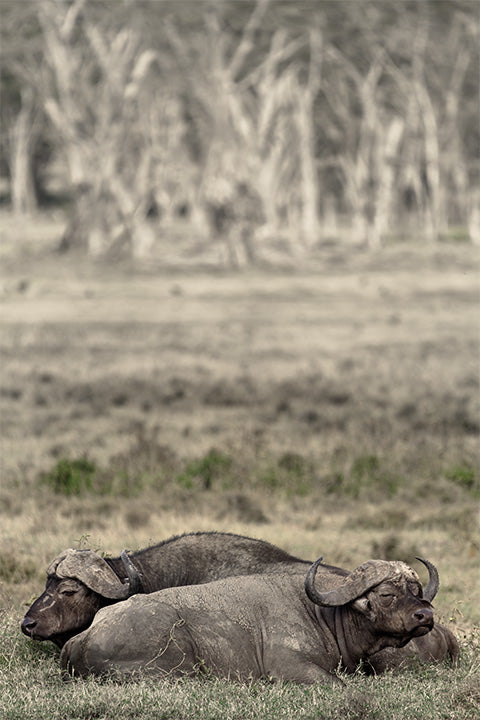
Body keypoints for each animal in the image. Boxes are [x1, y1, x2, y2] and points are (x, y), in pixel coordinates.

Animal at [59, 556, 450, 688]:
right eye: (386, 594)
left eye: (415, 589)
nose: (425, 615)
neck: (321, 613)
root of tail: (82, 638)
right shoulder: (289, 667)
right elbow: (338, 684)